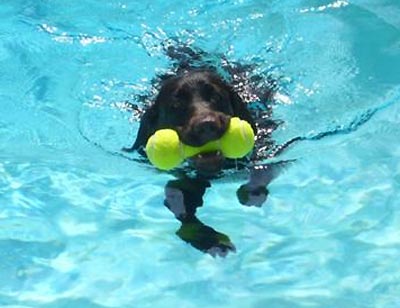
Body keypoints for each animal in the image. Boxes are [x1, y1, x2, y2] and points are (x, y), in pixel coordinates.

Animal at [125, 44, 288, 256]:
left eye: (216, 96)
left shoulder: (267, 152)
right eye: (176, 105)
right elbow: (178, 200)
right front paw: (207, 239)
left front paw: (251, 193)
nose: (206, 125)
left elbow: (262, 172)